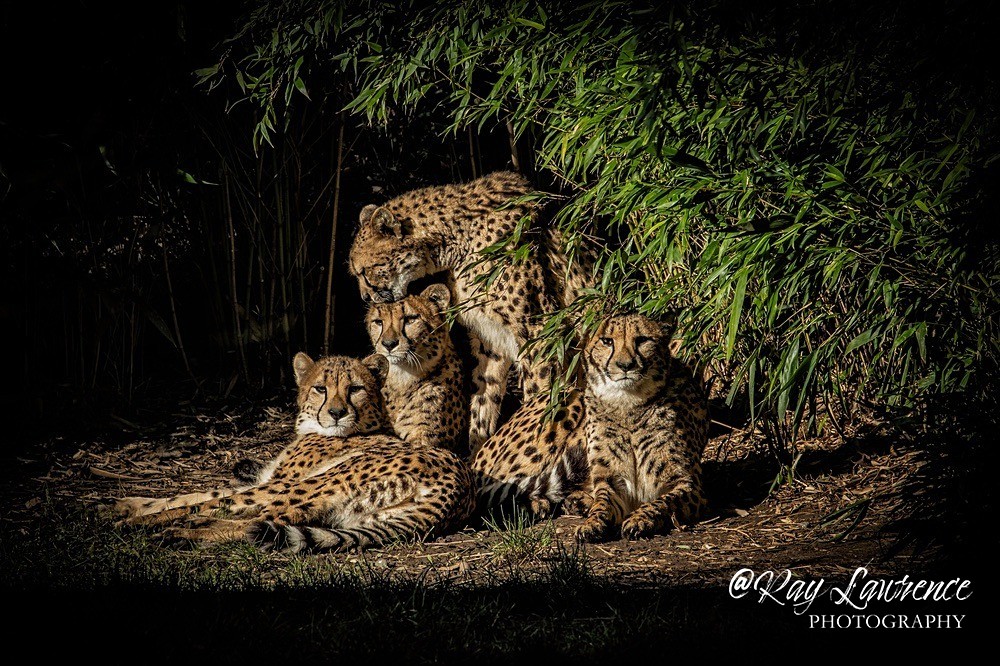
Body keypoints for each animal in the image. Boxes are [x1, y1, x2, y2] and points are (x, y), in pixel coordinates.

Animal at [113, 353, 475, 553]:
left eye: (355, 389)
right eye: (320, 388)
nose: (337, 413)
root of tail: (460, 489)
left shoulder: (280, 481)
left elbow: (206, 498)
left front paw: (132, 516)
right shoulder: (268, 478)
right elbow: (197, 494)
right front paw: (124, 505)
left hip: (311, 486)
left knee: (254, 518)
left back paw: (174, 530)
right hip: (345, 511)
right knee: (263, 522)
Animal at [574, 313, 710, 543]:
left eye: (642, 340)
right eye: (607, 341)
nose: (625, 365)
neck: (627, 403)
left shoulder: (688, 483)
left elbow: (663, 502)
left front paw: (639, 519)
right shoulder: (611, 480)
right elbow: (601, 503)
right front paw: (591, 523)